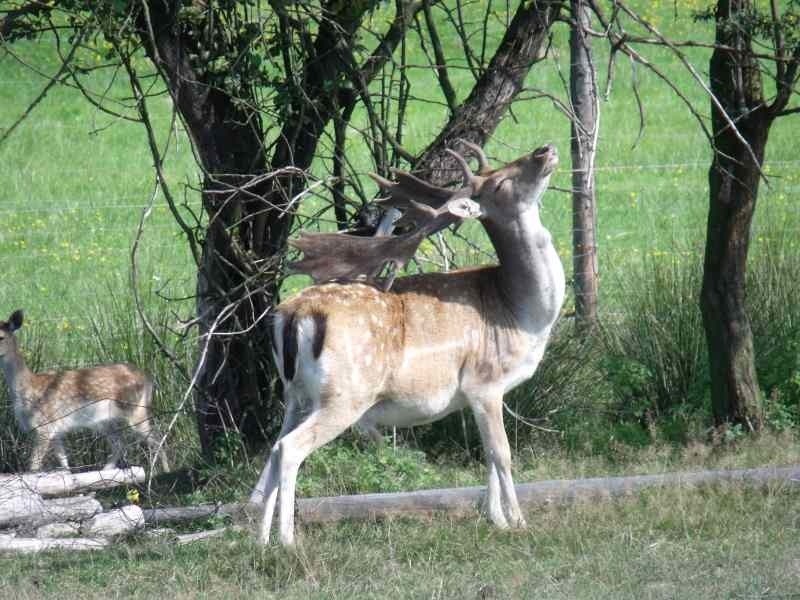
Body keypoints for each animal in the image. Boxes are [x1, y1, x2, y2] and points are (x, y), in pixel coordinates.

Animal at [0, 310, 169, 474]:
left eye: (1, 337)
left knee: (157, 439)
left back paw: (161, 472)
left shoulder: (44, 426)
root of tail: (148, 378)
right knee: (121, 444)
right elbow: (64, 462)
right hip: (103, 421)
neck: (28, 390)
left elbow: (33, 466)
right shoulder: (56, 430)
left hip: (135, 409)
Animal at [247, 141, 564, 544]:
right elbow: (502, 453)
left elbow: (487, 456)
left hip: (295, 396)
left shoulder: (482, 394)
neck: (521, 314)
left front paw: (496, 519)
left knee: (273, 449)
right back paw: (288, 541)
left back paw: (261, 540)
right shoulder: (485, 380)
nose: (545, 150)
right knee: (290, 448)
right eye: (500, 183)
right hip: (346, 394)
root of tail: (292, 315)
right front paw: (518, 523)